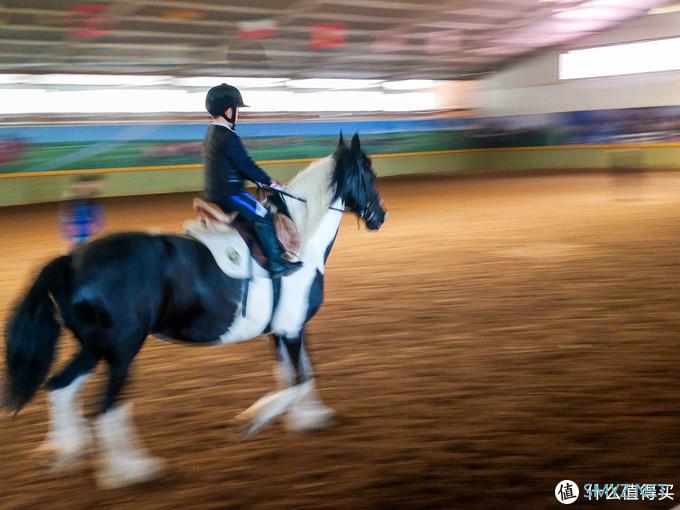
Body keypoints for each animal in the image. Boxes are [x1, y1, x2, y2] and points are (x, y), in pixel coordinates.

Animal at [3, 132, 388, 490]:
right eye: (368, 174)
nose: (380, 216)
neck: (298, 242)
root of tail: (71, 261)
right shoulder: (291, 327)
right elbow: (300, 378)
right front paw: (253, 419)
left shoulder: (283, 329)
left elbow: (295, 374)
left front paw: (309, 417)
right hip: (121, 351)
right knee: (106, 408)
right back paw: (129, 471)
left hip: (94, 348)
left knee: (61, 388)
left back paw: (63, 452)